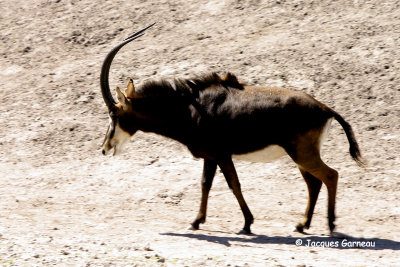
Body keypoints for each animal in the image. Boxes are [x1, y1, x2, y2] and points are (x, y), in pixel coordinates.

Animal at [99, 24, 362, 236]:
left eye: (114, 114)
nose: (104, 148)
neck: (189, 108)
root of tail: (324, 108)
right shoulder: (210, 157)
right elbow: (205, 184)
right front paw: (196, 221)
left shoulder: (222, 155)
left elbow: (234, 184)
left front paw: (246, 224)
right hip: (300, 156)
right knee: (314, 183)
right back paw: (301, 224)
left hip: (302, 154)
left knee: (330, 175)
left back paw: (330, 225)